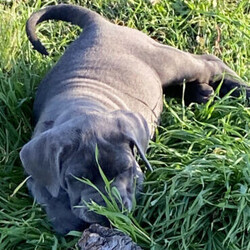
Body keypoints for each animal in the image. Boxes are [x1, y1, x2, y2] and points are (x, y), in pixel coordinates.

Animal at [20, 4, 250, 234]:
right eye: (79, 178)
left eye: (125, 169)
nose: (109, 209)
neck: (83, 107)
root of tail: (99, 25)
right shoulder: (37, 179)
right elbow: (56, 204)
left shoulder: (137, 177)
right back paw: (201, 92)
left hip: (168, 62)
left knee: (209, 62)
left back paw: (241, 90)